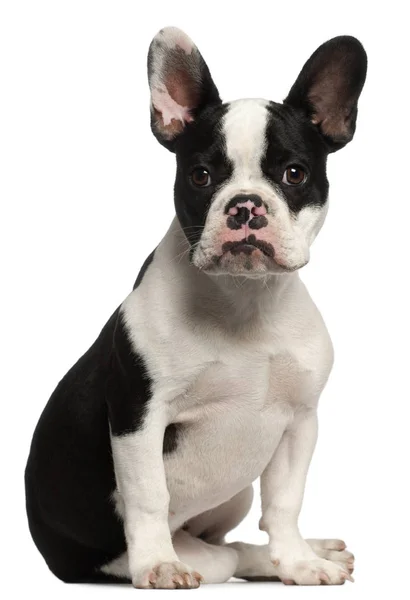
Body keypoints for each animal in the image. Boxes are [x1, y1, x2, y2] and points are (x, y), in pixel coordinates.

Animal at [24, 25, 366, 588]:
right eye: (202, 176)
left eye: (294, 174)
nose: (245, 206)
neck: (244, 299)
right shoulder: (139, 413)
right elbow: (147, 495)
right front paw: (157, 564)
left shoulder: (299, 421)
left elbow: (285, 502)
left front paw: (298, 562)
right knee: (219, 555)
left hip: (235, 496)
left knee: (236, 542)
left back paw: (306, 553)